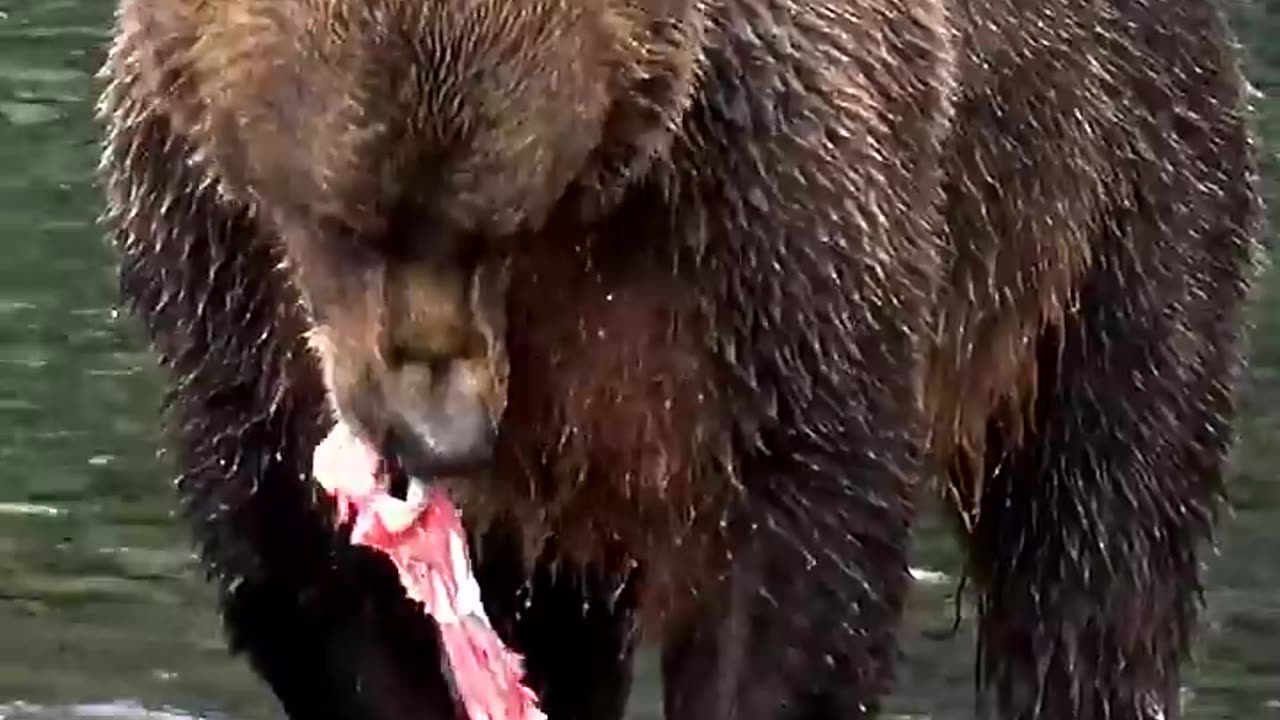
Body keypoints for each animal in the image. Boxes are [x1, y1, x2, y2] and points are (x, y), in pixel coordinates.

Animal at [97, 0, 1259, 712]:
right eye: (350, 220)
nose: (447, 437)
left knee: (1098, 533)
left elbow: (799, 538)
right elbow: (292, 549)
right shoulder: (218, 266)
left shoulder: (762, 224)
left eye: (494, 225)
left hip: (1108, 188)